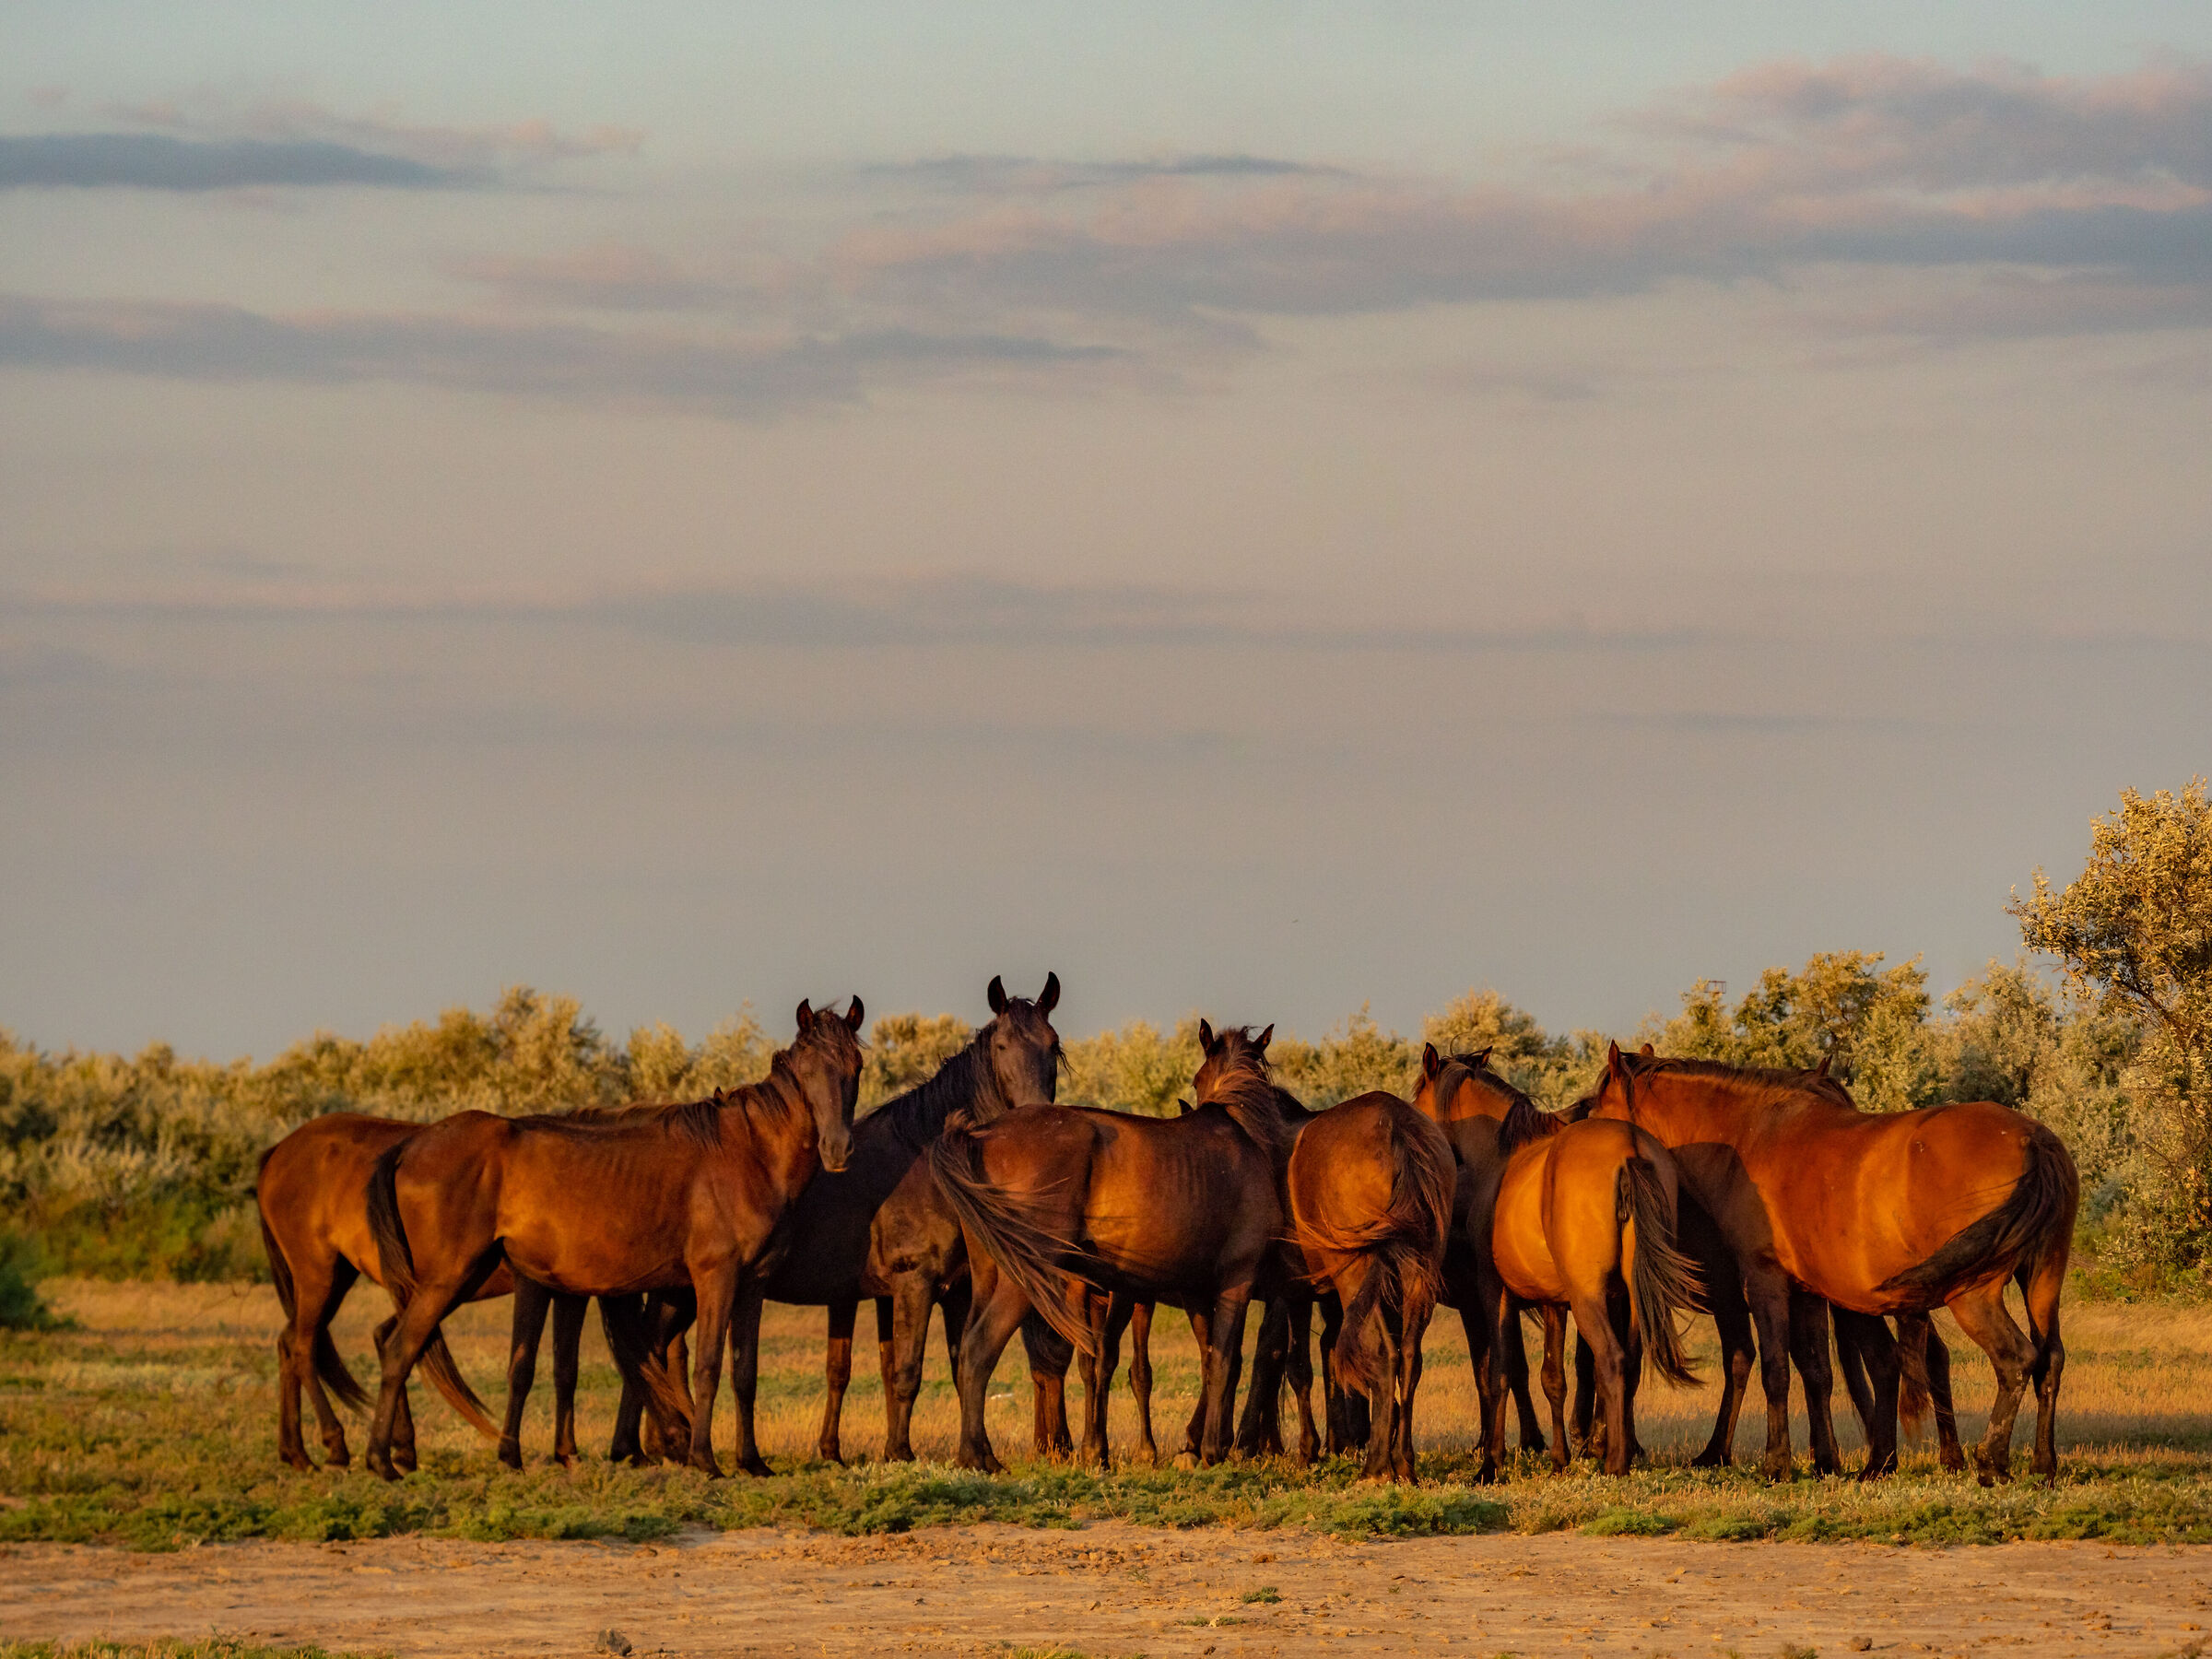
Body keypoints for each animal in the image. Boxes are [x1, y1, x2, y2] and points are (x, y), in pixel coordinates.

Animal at [360, 996, 865, 1479]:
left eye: (856, 1067)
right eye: (807, 1070)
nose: (838, 1149)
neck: (749, 1156)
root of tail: (411, 1145)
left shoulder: (752, 1285)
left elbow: (745, 1372)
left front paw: (753, 1462)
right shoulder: (714, 1279)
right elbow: (707, 1367)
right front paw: (705, 1460)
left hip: (463, 1279)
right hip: (448, 1280)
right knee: (399, 1350)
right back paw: (382, 1462)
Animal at [927, 1019, 1290, 1471]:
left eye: (1196, 1078)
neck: (1239, 1134)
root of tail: (982, 1133)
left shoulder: (1195, 1292)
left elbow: (1210, 1360)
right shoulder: (1235, 1282)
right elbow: (1223, 1361)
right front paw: (1209, 1449)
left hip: (989, 1274)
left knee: (965, 1355)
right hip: (1022, 1281)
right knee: (979, 1350)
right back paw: (977, 1457)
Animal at [1583, 1042, 2076, 1483]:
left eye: (1598, 1106)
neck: (1749, 1136)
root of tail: (2033, 1140)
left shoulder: (1764, 1279)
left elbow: (1775, 1370)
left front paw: (1776, 1464)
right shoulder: (1806, 1292)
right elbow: (1816, 1371)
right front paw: (1825, 1461)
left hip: (1973, 1296)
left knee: (2015, 1359)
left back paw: (1990, 1463)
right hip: (2043, 1281)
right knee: (2048, 1359)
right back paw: (2039, 1466)